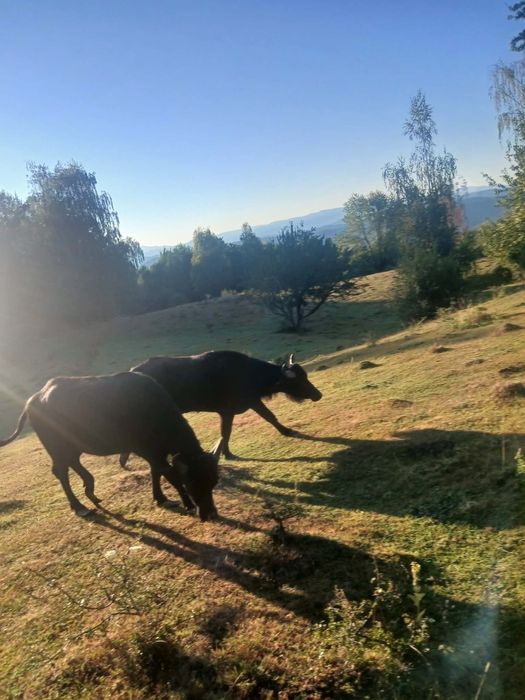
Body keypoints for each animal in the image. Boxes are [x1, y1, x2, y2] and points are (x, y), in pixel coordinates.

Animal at [0, 372, 221, 521]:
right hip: (57, 448)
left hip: (73, 445)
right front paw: (187, 503)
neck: (154, 412)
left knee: (73, 463)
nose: (210, 513)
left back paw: (90, 488)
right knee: (61, 471)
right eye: (192, 483)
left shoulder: (155, 452)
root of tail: (33, 400)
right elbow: (169, 475)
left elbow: (156, 473)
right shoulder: (147, 450)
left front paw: (160, 498)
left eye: (213, 482)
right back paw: (79, 506)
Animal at [119, 350, 322, 466]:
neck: (246, 373)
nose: (318, 394)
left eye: (305, 376)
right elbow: (231, 430)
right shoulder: (232, 409)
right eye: (298, 380)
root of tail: (133, 372)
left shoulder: (245, 404)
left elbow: (261, 419)